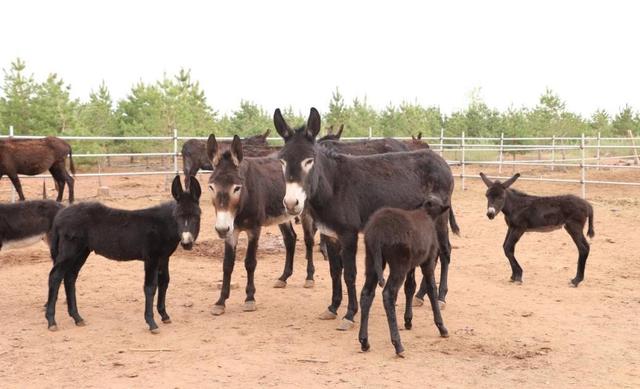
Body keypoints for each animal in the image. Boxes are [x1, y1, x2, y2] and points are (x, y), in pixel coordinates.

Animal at [360, 196, 450, 356]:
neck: (426, 214)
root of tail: (377, 232)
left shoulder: (412, 265)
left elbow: (410, 287)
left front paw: (408, 321)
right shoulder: (428, 261)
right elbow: (431, 288)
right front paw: (441, 327)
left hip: (372, 261)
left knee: (366, 294)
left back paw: (364, 341)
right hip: (398, 265)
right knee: (388, 294)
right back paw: (398, 344)